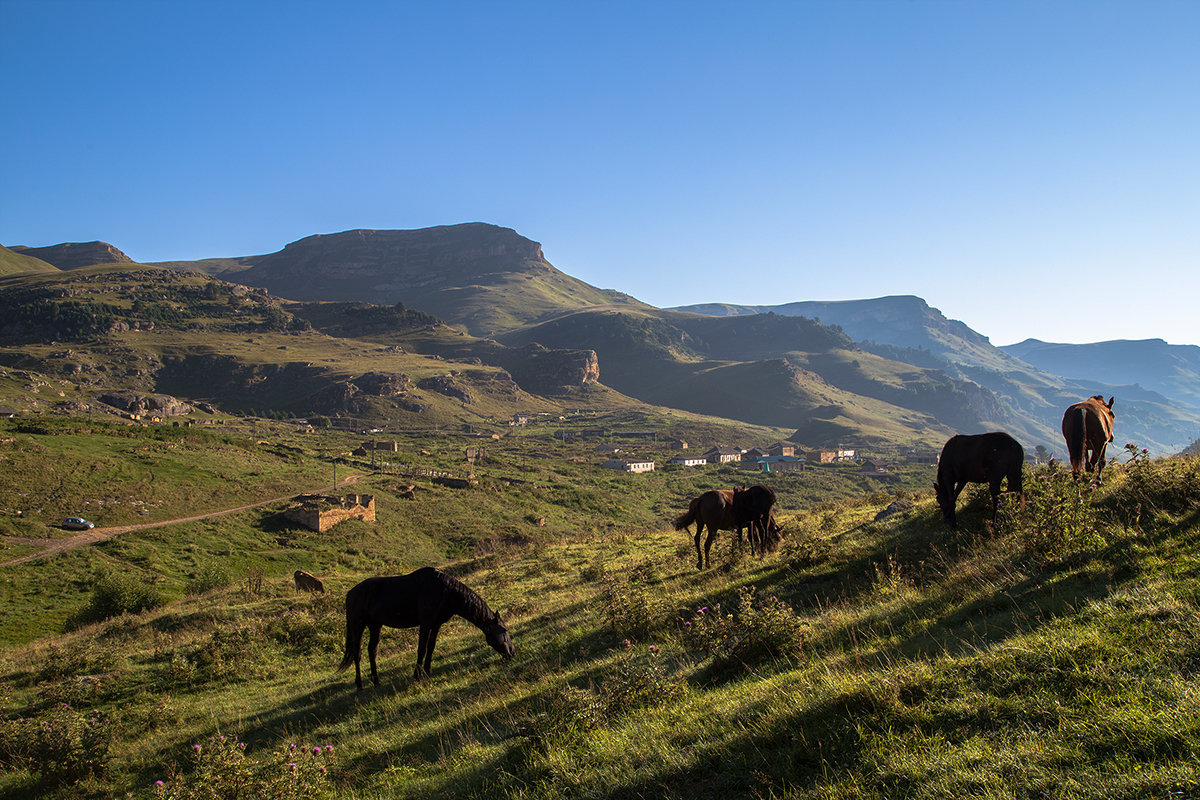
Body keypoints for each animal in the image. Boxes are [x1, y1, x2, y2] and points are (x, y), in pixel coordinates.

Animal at [336, 566, 513, 690]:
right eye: (504, 631)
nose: (512, 652)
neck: (446, 591)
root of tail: (350, 593)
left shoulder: (436, 624)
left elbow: (431, 647)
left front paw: (428, 671)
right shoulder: (426, 623)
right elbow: (421, 648)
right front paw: (418, 675)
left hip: (375, 625)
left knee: (372, 650)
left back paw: (376, 681)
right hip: (358, 626)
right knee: (357, 653)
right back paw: (359, 685)